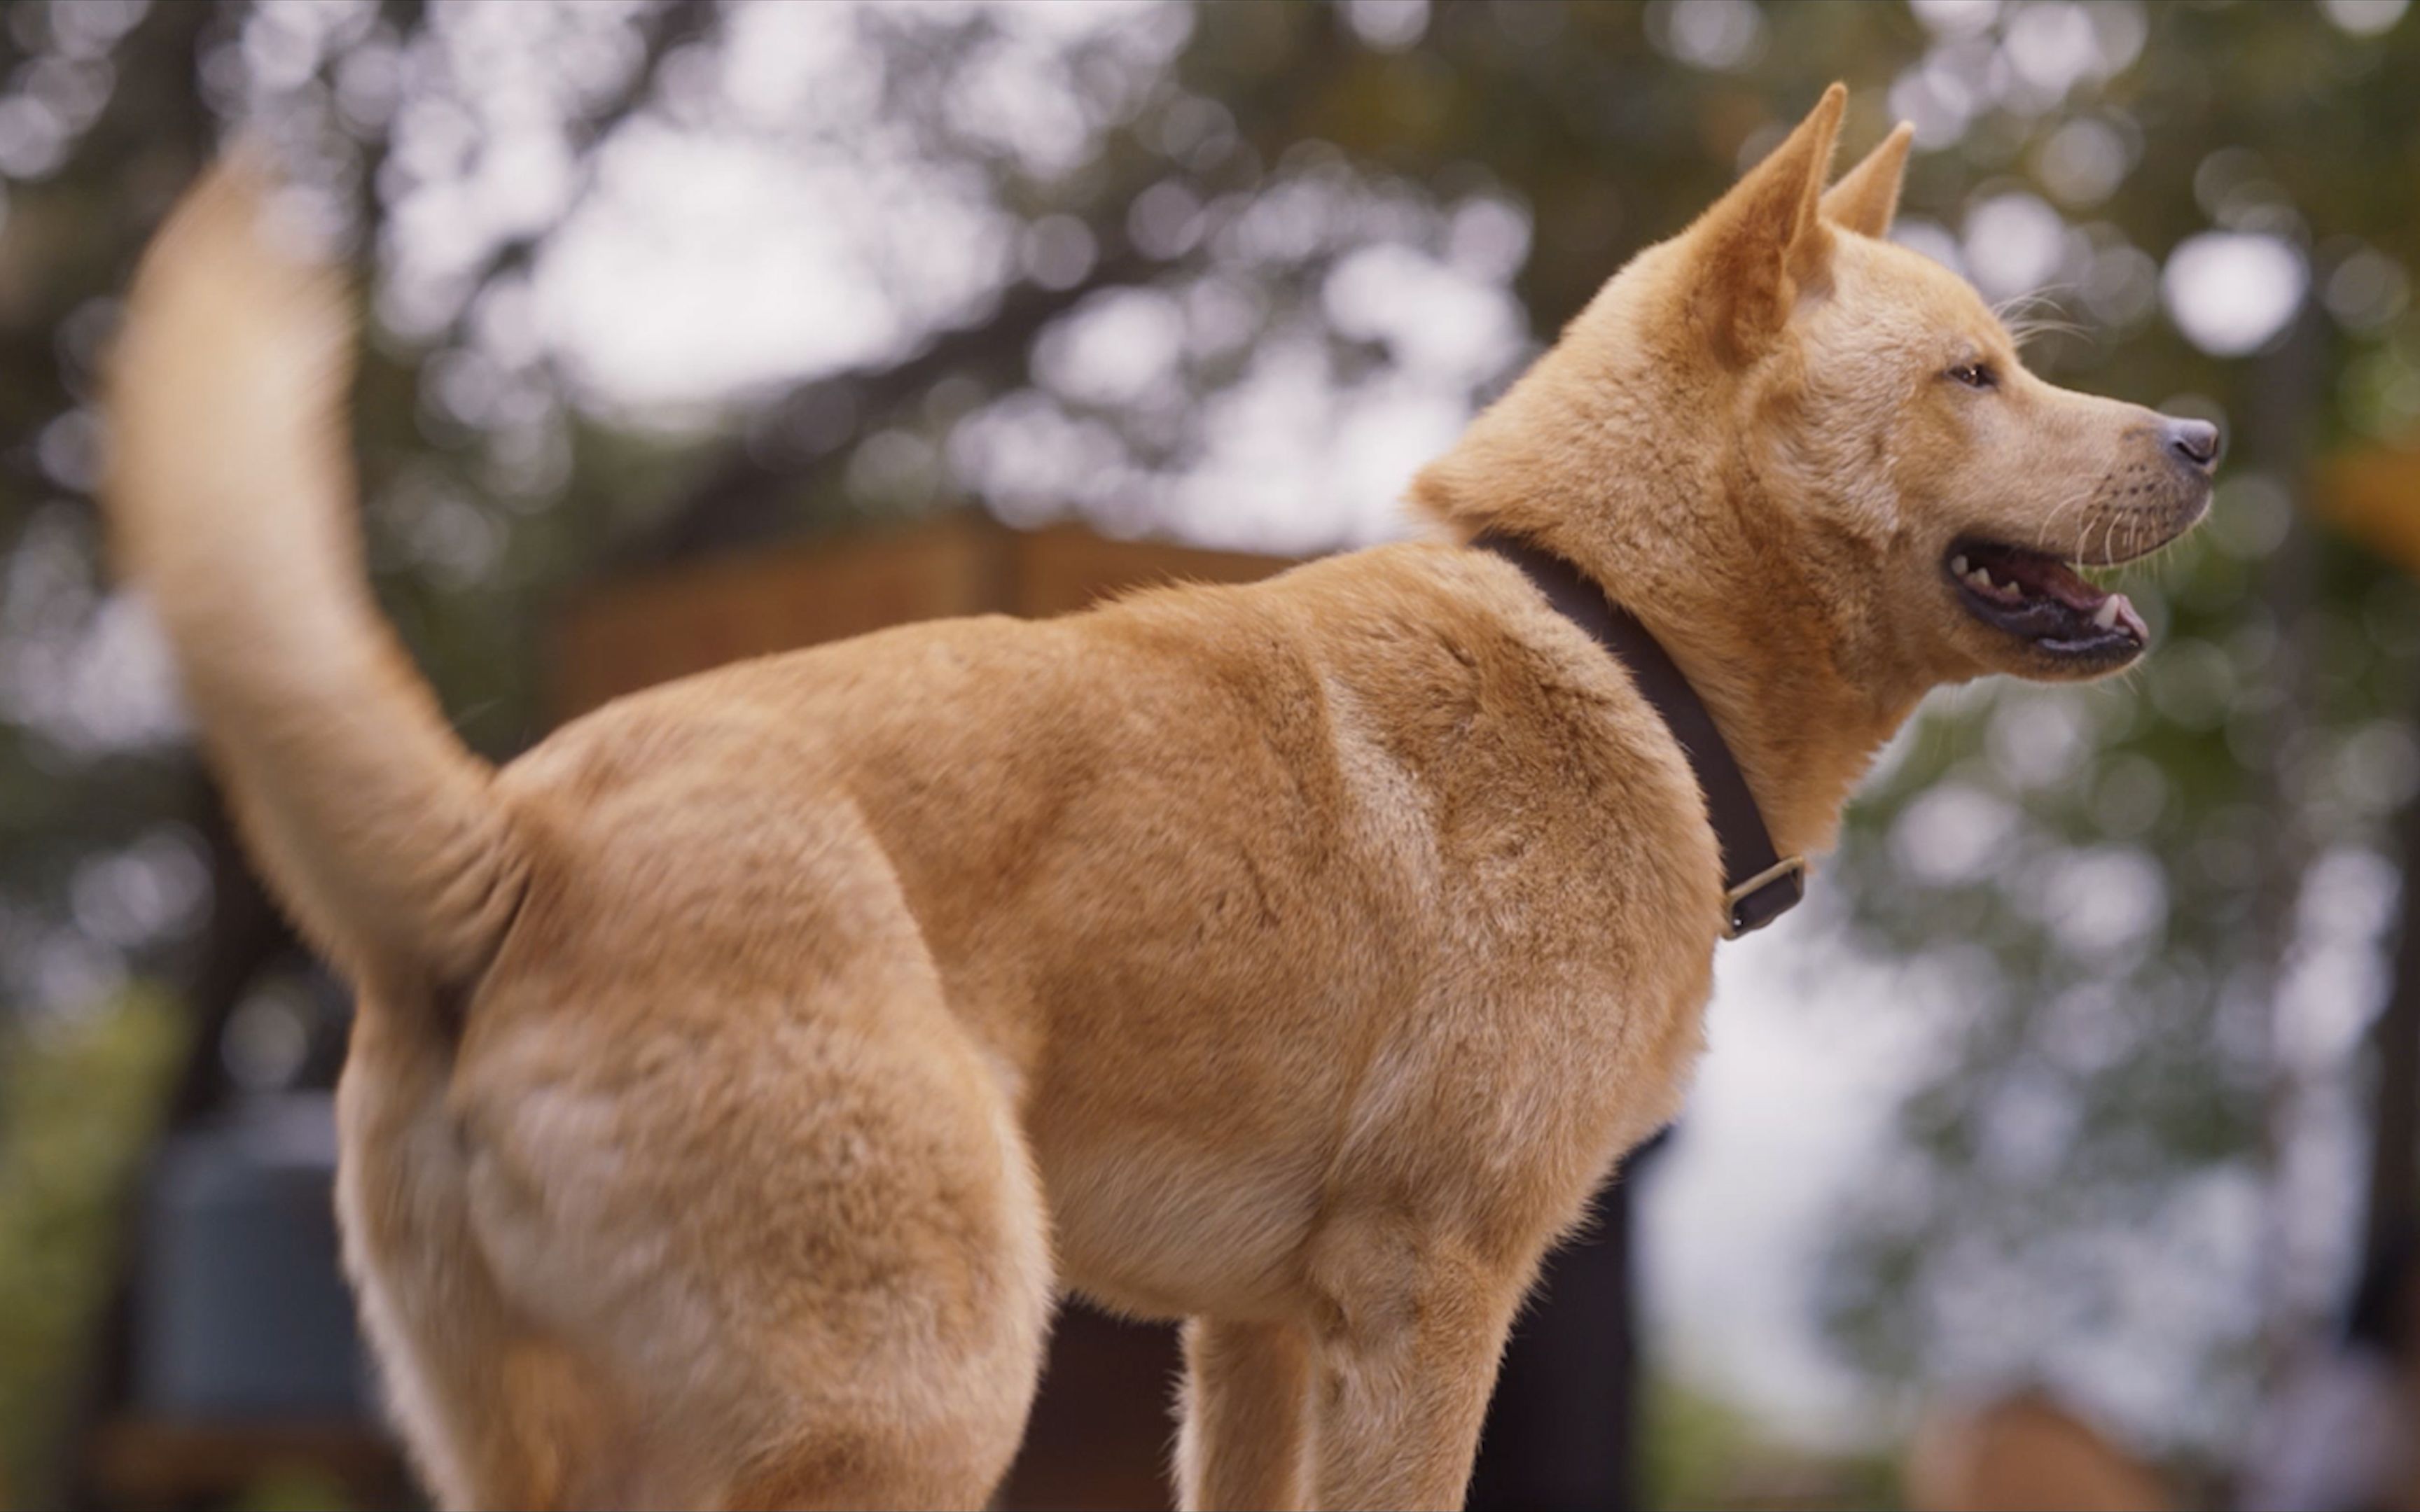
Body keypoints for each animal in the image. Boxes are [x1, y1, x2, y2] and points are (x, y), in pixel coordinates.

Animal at [109, 85, 2216, 1509]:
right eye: (1972, 374)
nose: (2201, 434)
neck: (1615, 640)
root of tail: (516, 845)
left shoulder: (1256, 1334)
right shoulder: (1427, 1296)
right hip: (915, 1402)